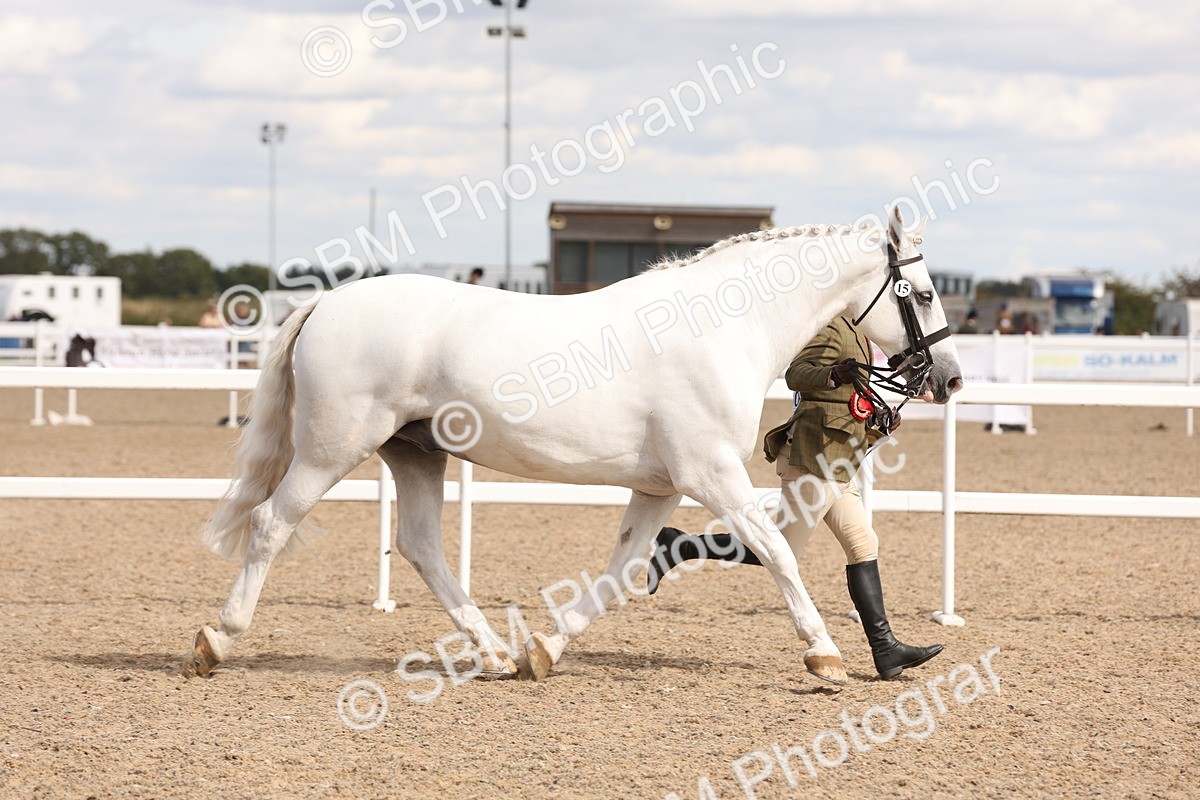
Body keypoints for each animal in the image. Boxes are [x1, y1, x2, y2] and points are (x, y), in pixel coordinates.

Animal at [189, 205, 963, 685]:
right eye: (923, 293)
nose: (949, 379)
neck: (722, 329)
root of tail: (325, 302)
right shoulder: (710, 474)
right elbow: (776, 552)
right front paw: (825, 656)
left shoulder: (660, 485)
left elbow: (622, 569)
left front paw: (544, 651)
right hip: (332, 449)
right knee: (271, 524)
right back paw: (216, 640)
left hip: (416, 452)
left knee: (421, 546)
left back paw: (496, 655)